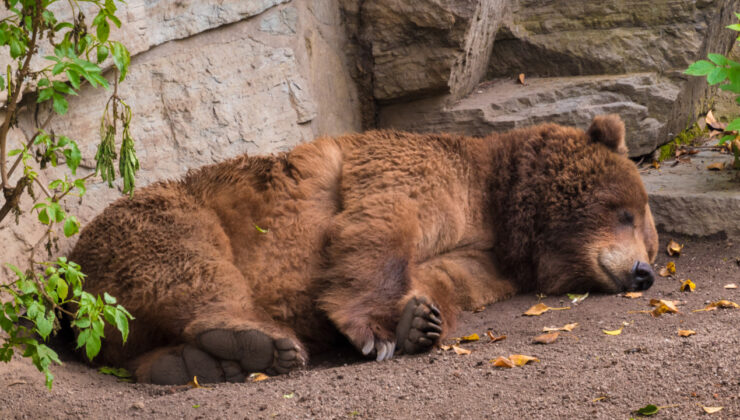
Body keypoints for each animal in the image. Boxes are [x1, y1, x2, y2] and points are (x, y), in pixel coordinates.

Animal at [69, 114, 660, 384]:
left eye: (650, 241)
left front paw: (419, 321)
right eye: (625, 211)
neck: (499, 206)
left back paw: (193, 363)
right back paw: (257, 343)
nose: (643, 272)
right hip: (166, 213)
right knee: (188, 260)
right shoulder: (410, 169)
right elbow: (382, 221)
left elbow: (447, 278)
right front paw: (375, 331)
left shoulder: (487, 257)